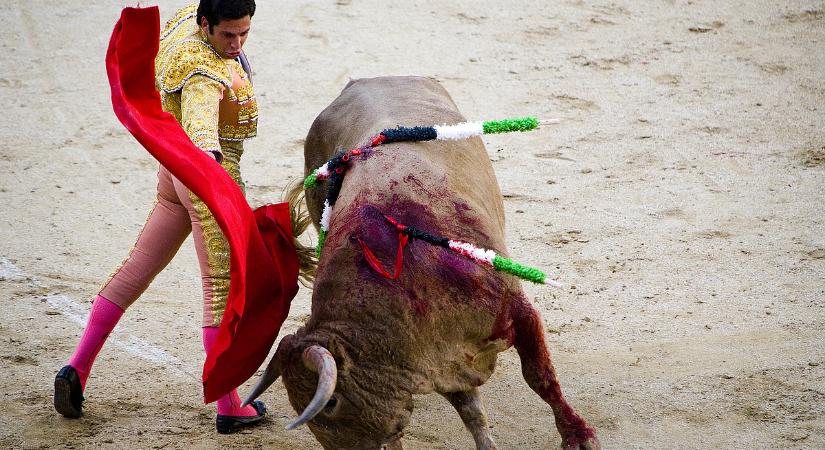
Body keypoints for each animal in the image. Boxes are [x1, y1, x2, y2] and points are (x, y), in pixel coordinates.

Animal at [245, 75, 600, 448]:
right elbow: (472, 410)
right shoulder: (439, 355)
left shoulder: (516, 310)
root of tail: (363, 80)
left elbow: (539, 376)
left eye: (331, 403)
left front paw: (578, 436)